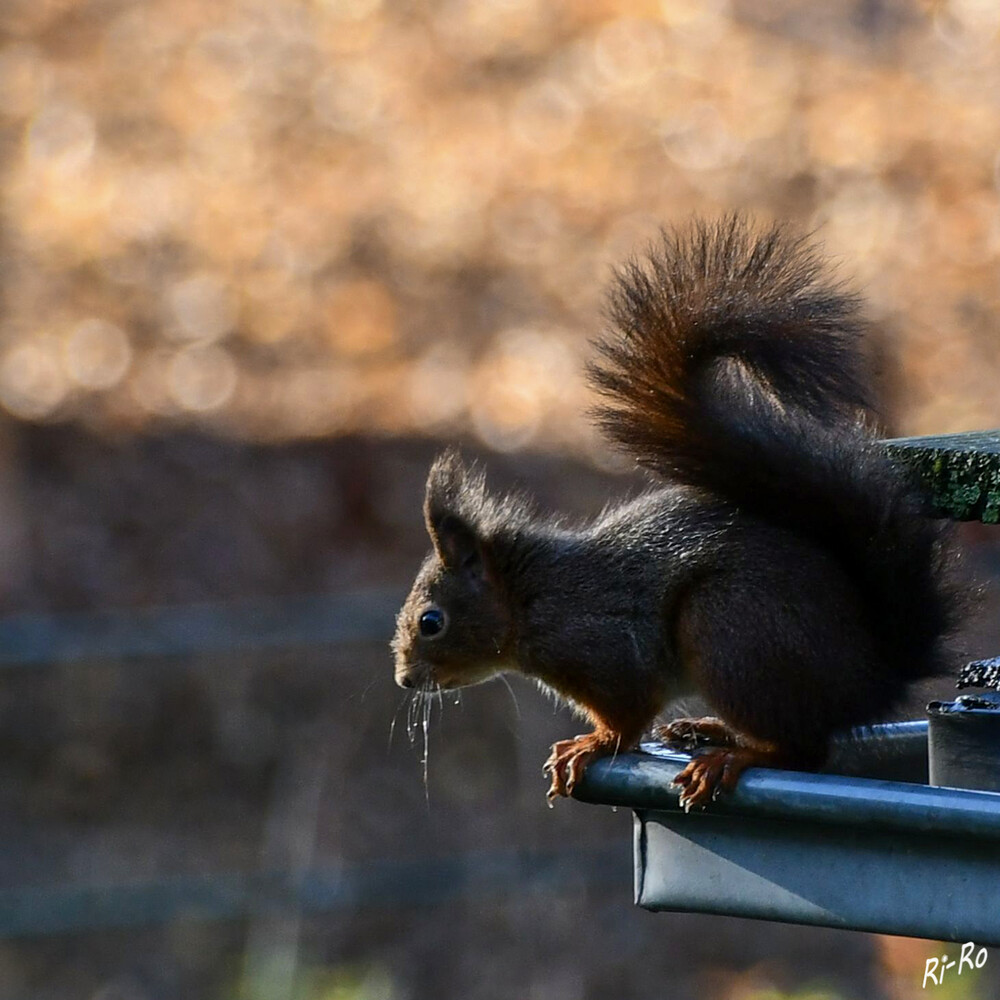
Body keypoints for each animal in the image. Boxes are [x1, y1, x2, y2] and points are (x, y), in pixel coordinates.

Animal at [390, 215, 960, 808]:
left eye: (431, 622)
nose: (405, 679)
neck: (532, 596)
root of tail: (873, 677)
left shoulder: (607, 648)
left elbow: (628, 713)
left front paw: (590, 744)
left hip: (731, 632)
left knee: (803, 751)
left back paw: (731, 757)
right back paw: (710, 730)